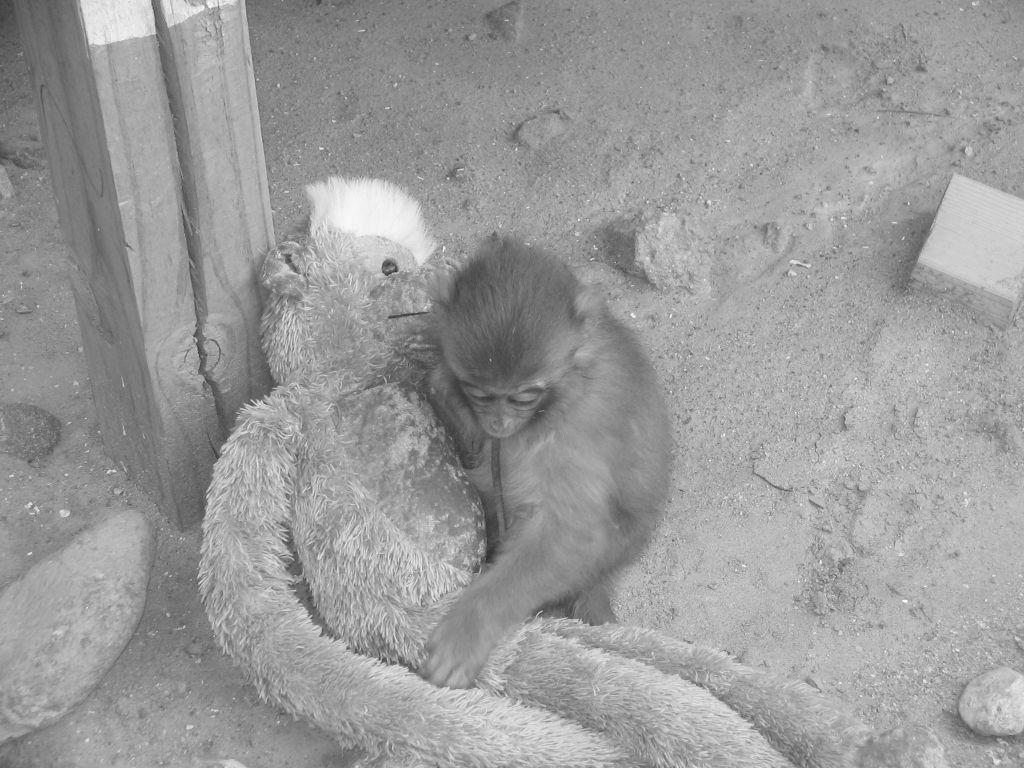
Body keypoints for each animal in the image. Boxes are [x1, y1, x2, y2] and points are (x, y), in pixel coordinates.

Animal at [420, 235, 673, 689]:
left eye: (523, 396)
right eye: (479, 393)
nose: (497, 423)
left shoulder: (569, 436)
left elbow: (570, 532)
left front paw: (470, 625)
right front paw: (448, 394)